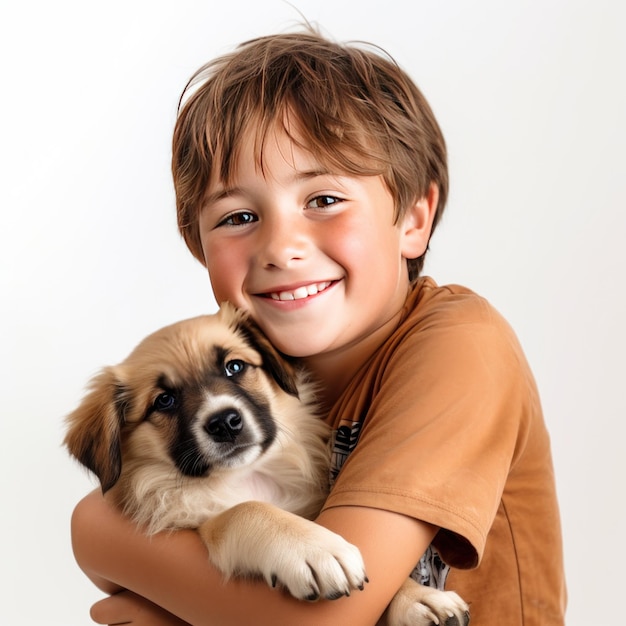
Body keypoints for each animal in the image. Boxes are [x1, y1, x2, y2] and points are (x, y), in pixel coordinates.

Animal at [67, 302, 468, 620]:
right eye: (164, 400)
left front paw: (419, 599)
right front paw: (314, 548)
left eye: (234, 367)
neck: (247, 477)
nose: (225, 423)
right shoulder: (196, 522)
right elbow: (243, 511)